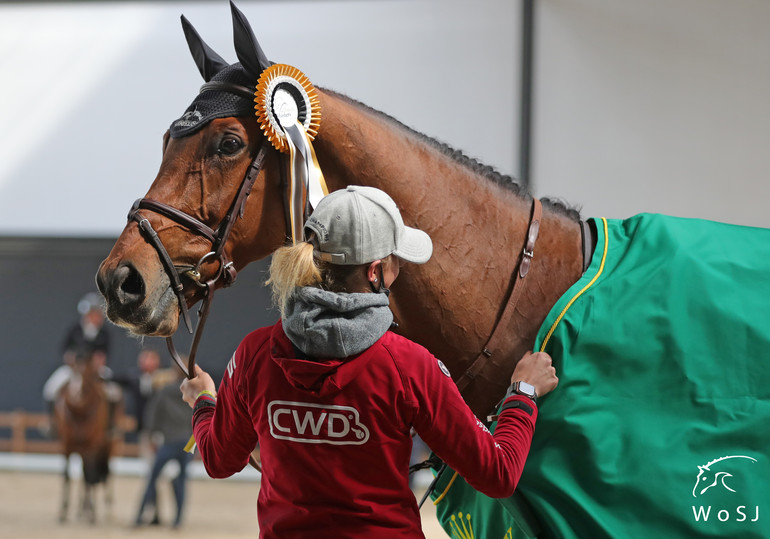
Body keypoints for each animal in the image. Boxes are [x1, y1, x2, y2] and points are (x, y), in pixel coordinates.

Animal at [53, 350, 114, 524]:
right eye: (73, 372)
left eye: (87, 375)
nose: (75, 395)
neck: (79, 414)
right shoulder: (66, 446)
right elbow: (67, 475)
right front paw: (63, 511)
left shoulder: (91, 447)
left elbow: (90, 476)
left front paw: (91, 512)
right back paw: (80, 511)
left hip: (109, 447)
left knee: (103, 473)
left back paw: (102, 510)